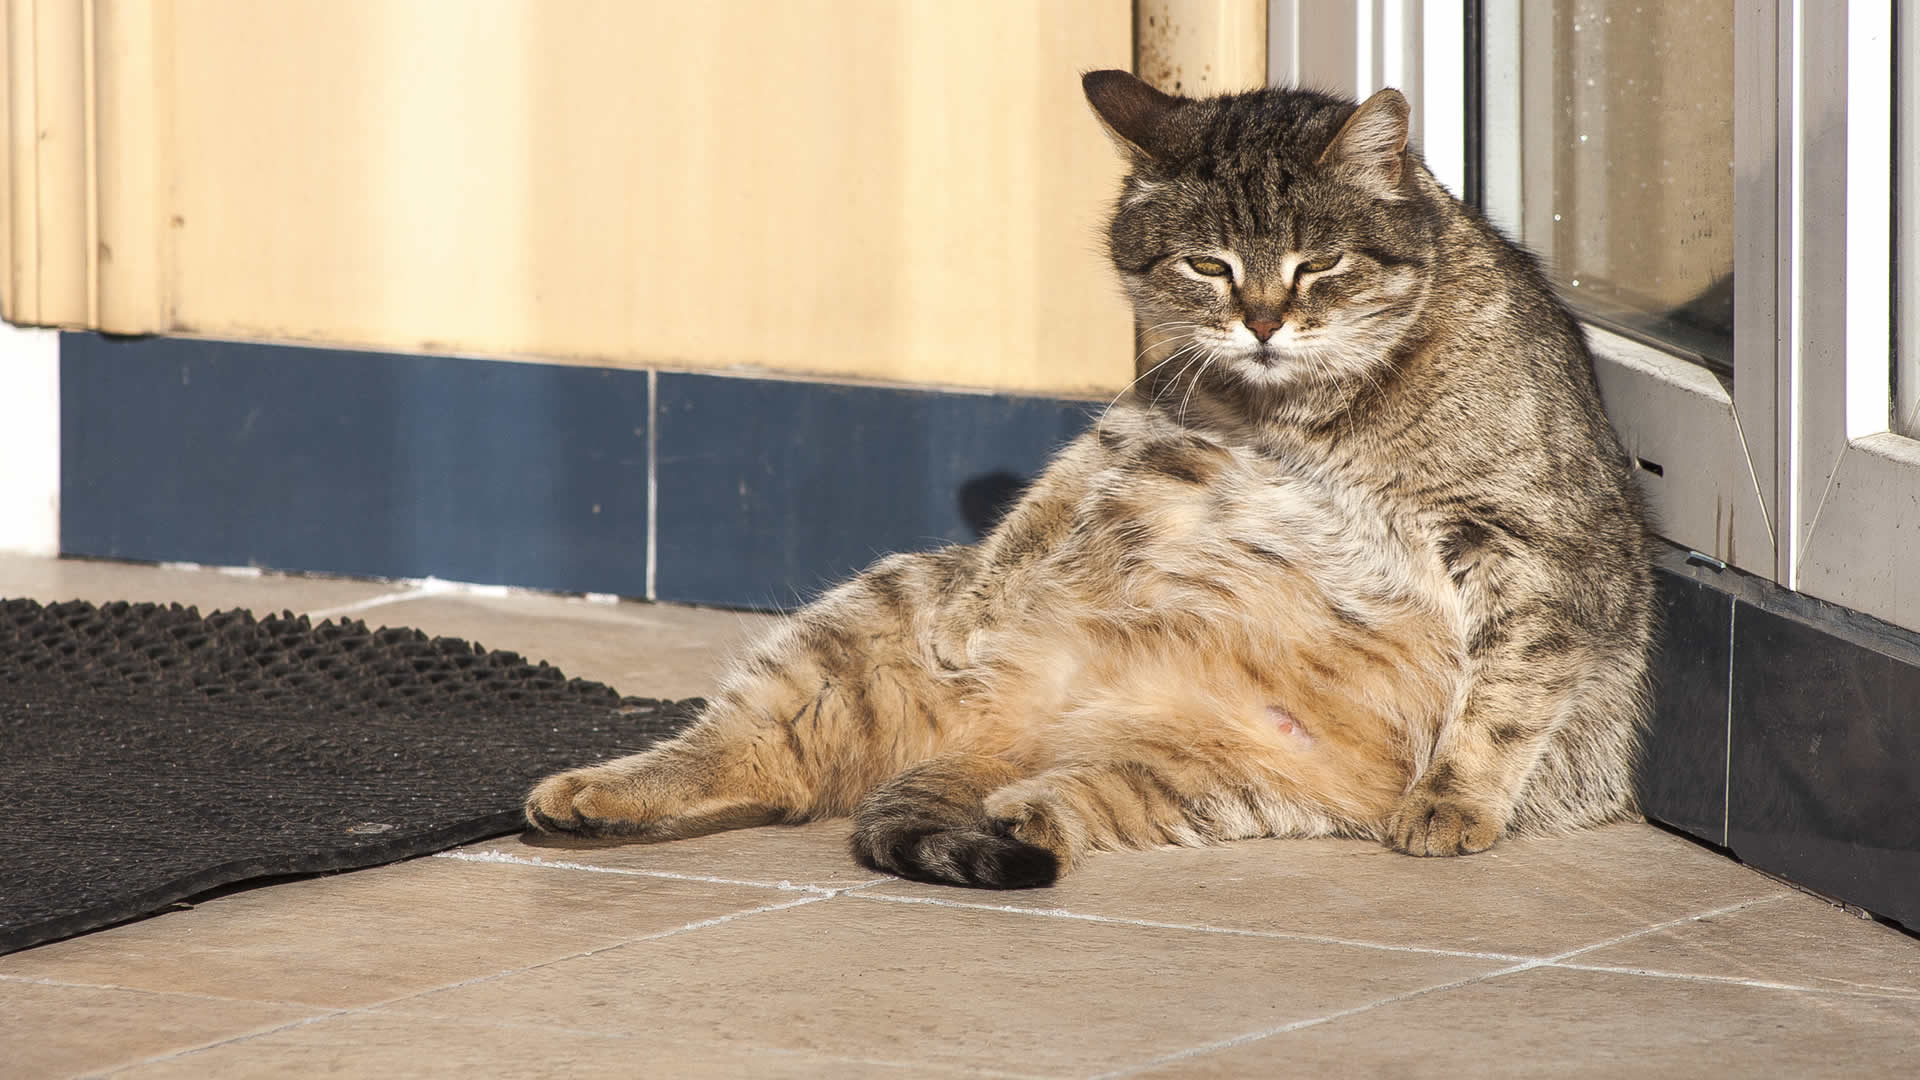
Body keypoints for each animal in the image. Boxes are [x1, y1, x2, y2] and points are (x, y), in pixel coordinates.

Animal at [522, 71, 1651, 887]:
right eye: (1207, 266)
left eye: (1320, 264)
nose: (1264, 322)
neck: (1300, 413)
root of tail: (1008, 738)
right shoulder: (1152, 422)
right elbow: (1053, 492)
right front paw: (986, 600)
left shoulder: (1542, 551)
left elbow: (1503, 696)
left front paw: (1454, 800)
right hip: (857, 629)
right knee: (755, 760)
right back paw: (600, 790)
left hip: (1190, 782)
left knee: (1033, 800)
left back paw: (1027, 811)